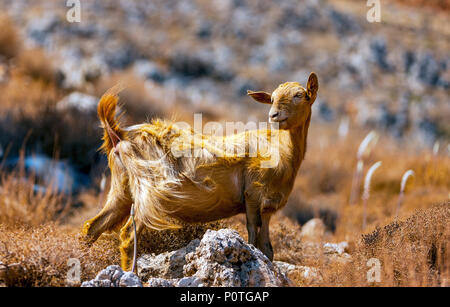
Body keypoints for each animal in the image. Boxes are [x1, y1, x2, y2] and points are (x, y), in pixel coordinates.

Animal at [81, 73, 320, 270]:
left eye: (300, 95)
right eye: (272, 99)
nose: (274, 115)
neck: (280, 150)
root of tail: (119, 135)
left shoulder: (269, 206)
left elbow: (267, 248)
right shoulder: (252, 195)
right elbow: (253, 239)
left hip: (122, 191)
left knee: (92, 227)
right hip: (150, 190)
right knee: (128, 235)